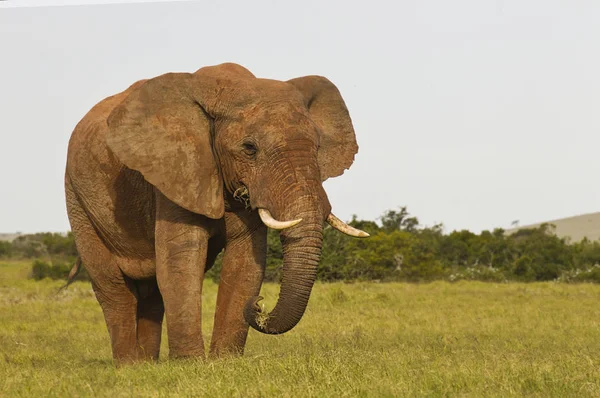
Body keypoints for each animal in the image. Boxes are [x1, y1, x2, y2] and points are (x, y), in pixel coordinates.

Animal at [63, 62, 368, 364]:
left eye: (317, 147)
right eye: (249, 148)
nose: (259, 305)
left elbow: (246, 263)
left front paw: (225, 362)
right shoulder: (177, 169)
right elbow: (181, 262)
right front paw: (190, 364)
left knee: (150, 292)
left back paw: (149, 363)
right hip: (77, 198)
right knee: (111, 285)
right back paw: (130, 366)